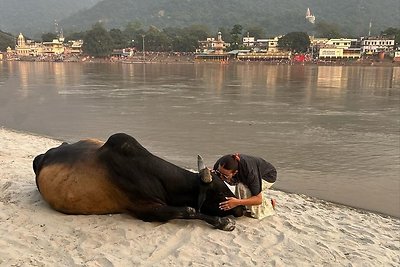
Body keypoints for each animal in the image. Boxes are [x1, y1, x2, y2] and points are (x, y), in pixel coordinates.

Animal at [32, 133, 242, 231]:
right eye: (219, 192)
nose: (240, 209)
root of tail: (44, 155)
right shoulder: (143, 209)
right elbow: (189, 210)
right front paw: (224, 223)